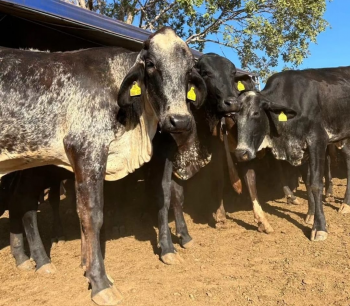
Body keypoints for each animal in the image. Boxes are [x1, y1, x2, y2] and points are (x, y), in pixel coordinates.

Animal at [0, 27, 206, 304]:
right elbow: (92, 215)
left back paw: (28, 259)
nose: (179, 121)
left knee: (21, 201)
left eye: (189, 70)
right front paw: (99, 283)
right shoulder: (86, 149)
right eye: (151, 64)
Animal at [232, 66, 350, 241]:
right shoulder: (298, 150)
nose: (241, 153)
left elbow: (316, 184)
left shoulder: (318, 140)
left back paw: (345, 204)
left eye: (256, 113)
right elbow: (307, 183)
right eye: (234, 116)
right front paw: (310, 215)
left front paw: (319, 227)